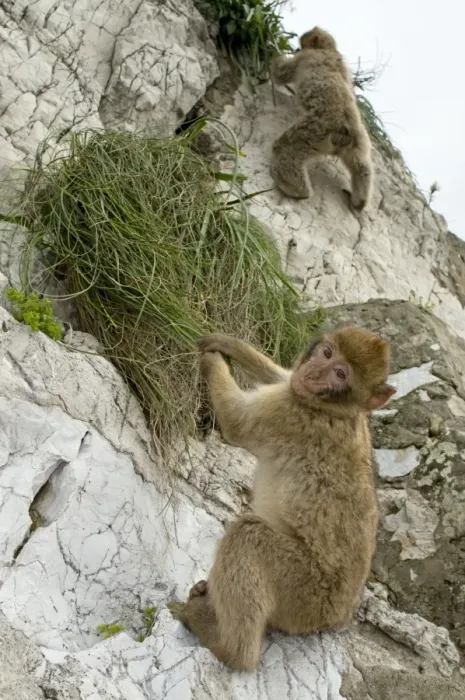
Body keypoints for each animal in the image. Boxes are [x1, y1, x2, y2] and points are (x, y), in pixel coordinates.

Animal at [168, 327, 396, 671]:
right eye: (327, 354)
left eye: (340, 374)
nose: (313, 373)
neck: (337, 411)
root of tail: (336, 618)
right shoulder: (295, 395)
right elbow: (282, 376)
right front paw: (231, 346)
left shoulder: (290, 416)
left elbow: (236, 420)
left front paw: (211, 362)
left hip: (304, 592)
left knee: (249, 535)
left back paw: (228, 647)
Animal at [269, 27, 373, 211]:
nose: (298, 46)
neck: (330, 50)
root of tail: (346, 132)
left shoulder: (304, 58)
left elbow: (280, 73)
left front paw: (273, 50)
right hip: (359, 145)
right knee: (362, 167)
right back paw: (359, 201)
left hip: (316, 130)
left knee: (287, 147)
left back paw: (294, 187)